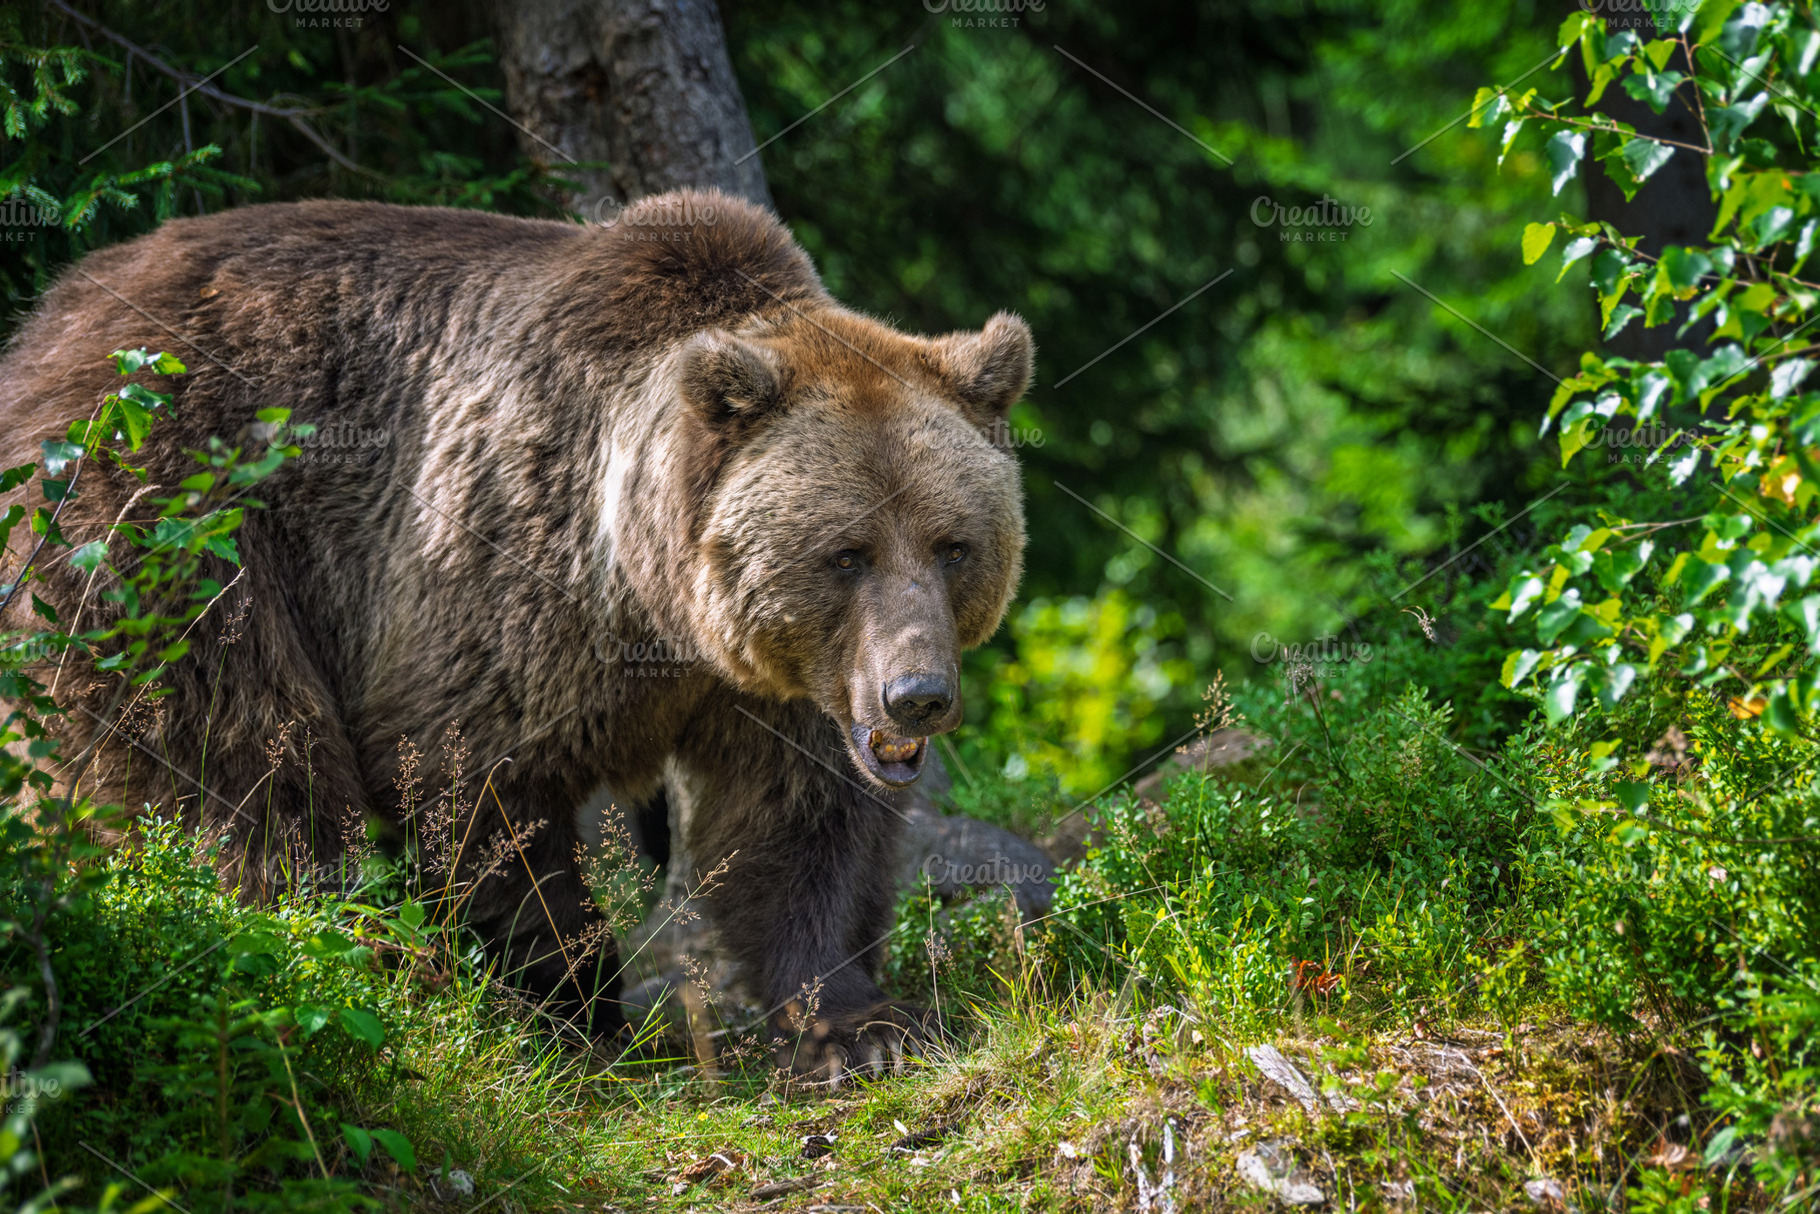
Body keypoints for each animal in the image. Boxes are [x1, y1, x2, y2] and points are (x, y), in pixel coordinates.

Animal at [0, 189, 1033, 1080]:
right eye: (847, 552)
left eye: (953, 545)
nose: (918, 696)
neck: (659, 602)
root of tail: (52, 317)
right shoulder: (506, 574)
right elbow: (476, 786)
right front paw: (568, 1005)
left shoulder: (788, 681)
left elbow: (805, 821)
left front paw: (860, 1024)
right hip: (164, 508)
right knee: (230, 747)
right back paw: (347, 951)